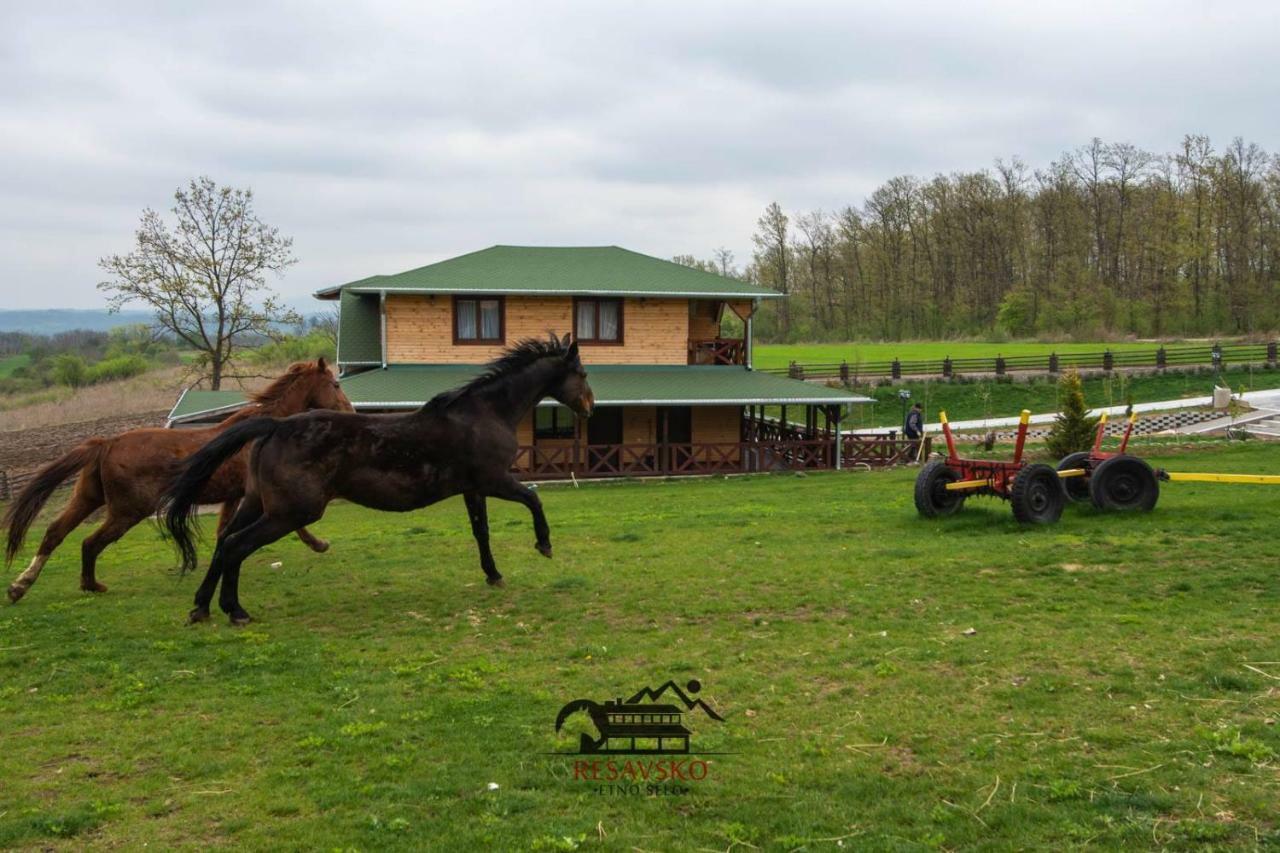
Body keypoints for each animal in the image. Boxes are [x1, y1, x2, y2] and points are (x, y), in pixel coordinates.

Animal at [5, 356, 353, 601]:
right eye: (335, 385)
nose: (350, 410)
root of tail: (107, 443)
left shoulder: (234, 495)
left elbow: (224, 531)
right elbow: (296, 524)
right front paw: (320, 544)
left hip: (88, 498)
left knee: (54, 533)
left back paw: (20, 586)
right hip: (127, 510)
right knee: (90, 542)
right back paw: (91, 585)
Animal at [161, 333, 593, 625]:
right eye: (582, 372)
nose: (589, 406)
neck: (484, 413)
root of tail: (275, 425)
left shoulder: (473, 489)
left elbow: (481, 532)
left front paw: (494, 575)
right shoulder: (494, 480)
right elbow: (533, 499)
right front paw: (544, 545)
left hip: (258, 503)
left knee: (223, 543)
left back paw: (201, 607)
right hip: (291, 512)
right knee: (236, 545)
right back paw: (235, 611)